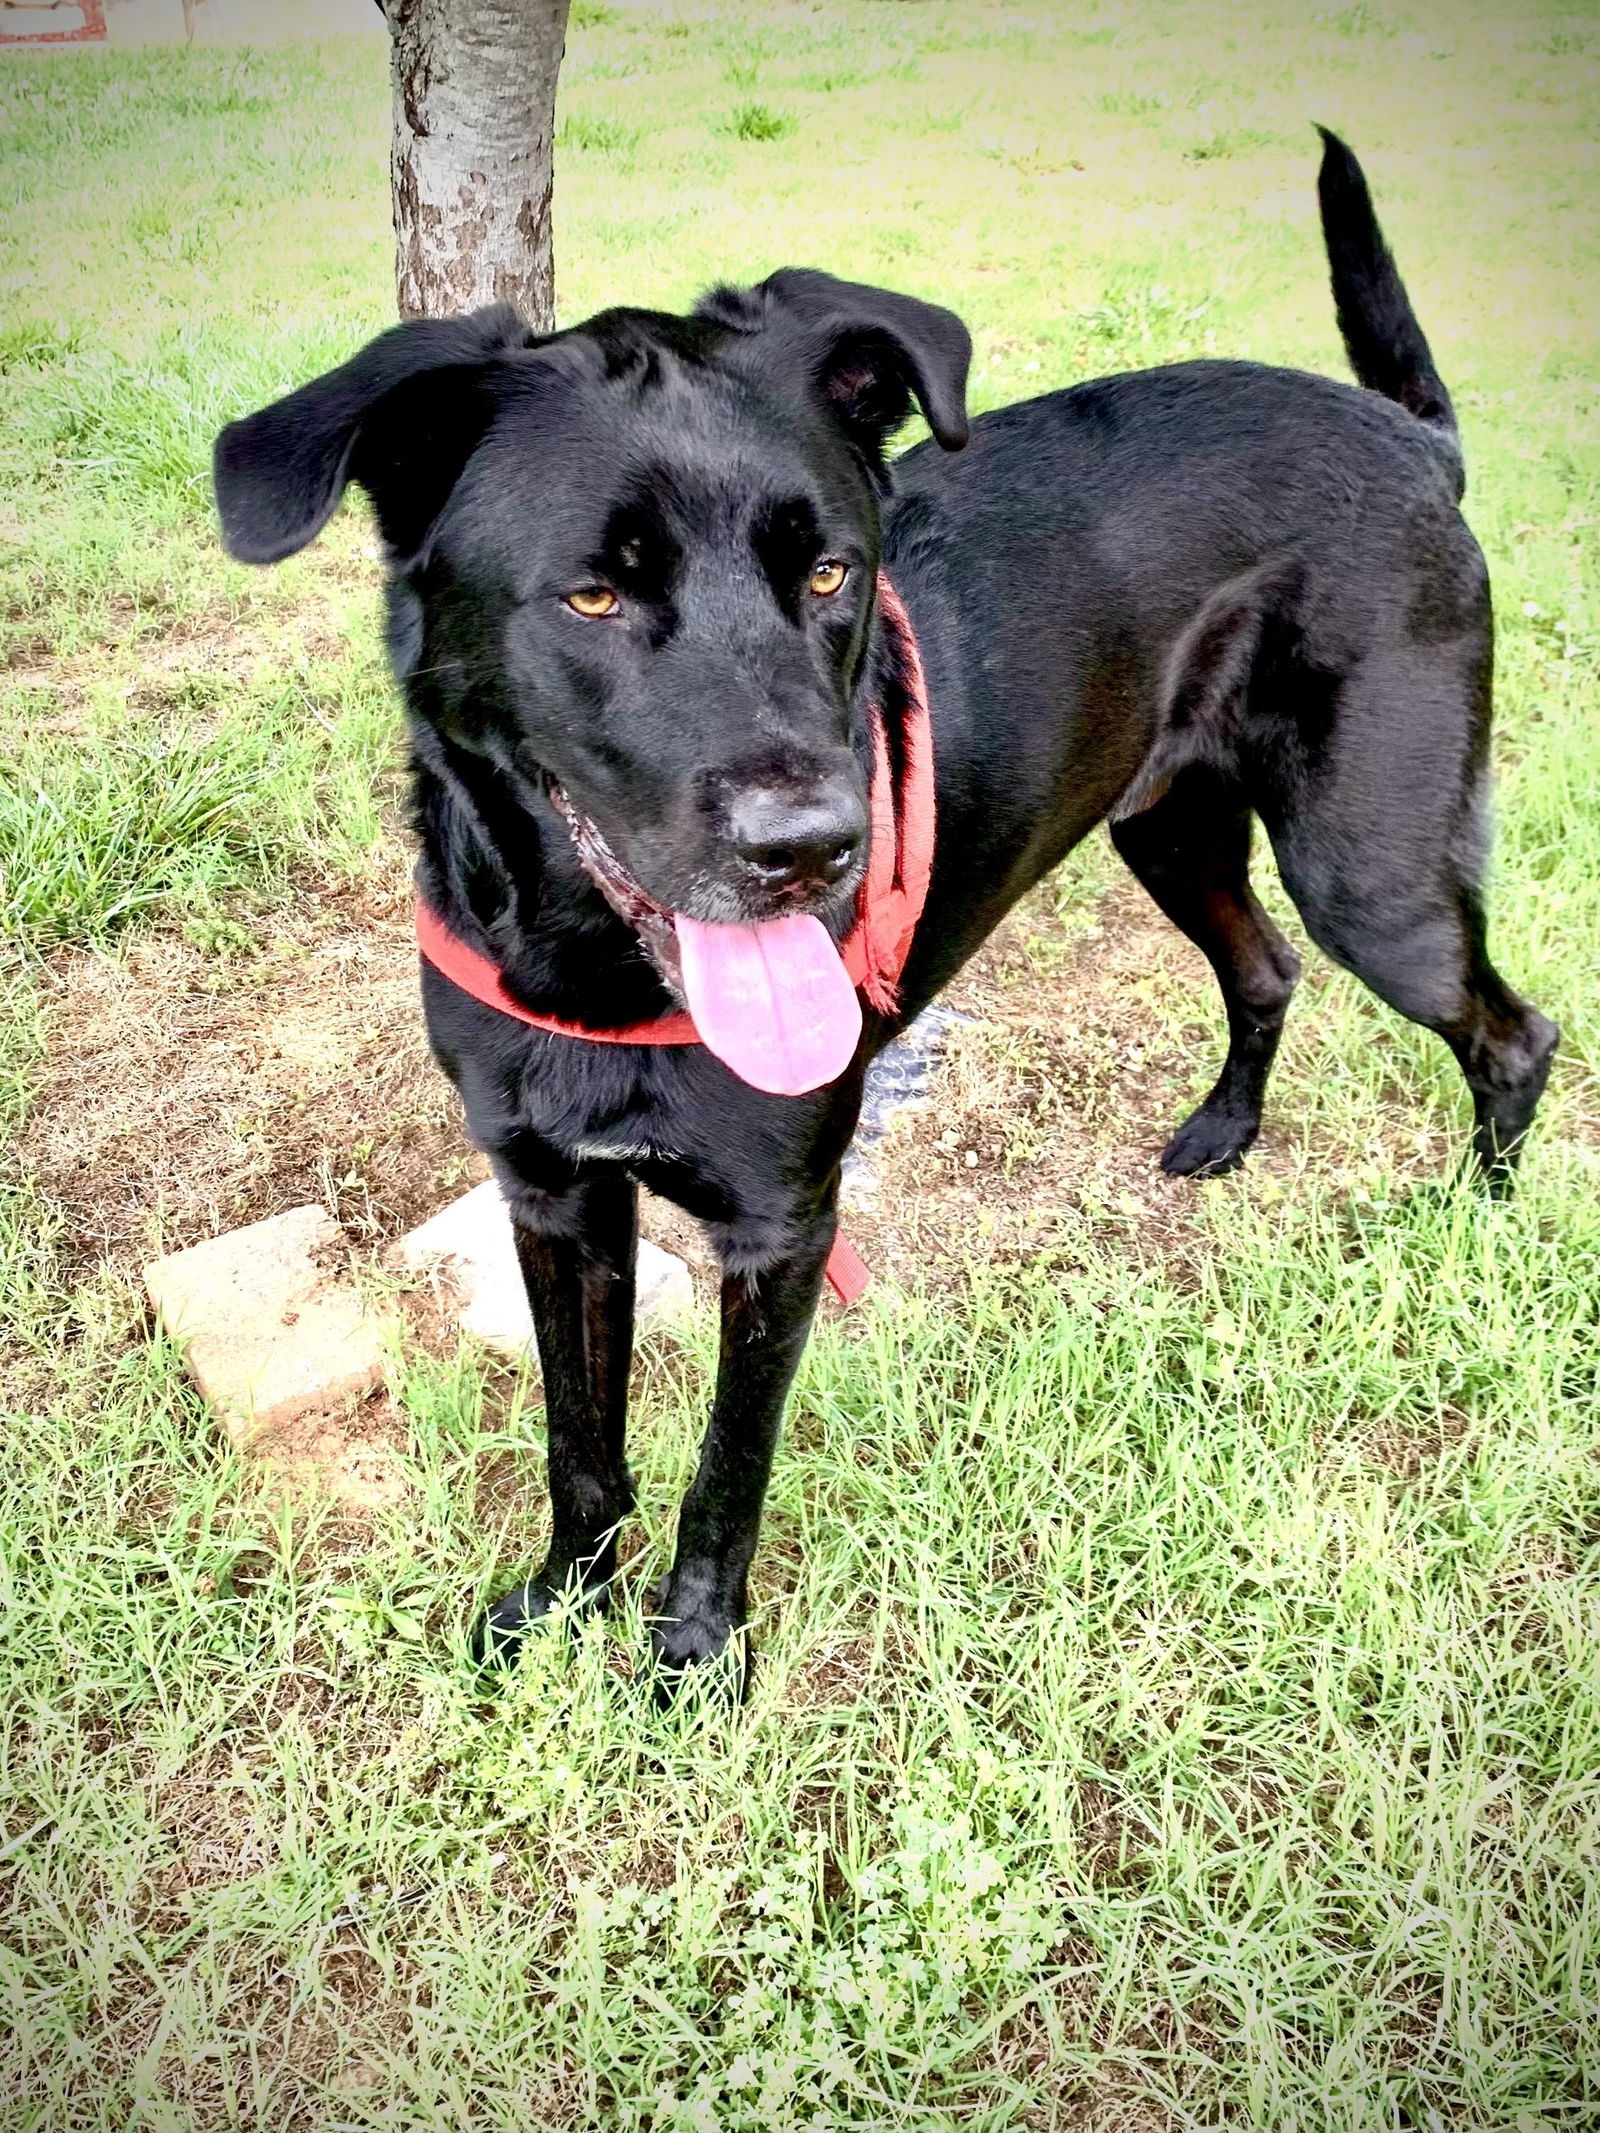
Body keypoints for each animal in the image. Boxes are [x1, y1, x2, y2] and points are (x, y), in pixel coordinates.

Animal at [213, 137, 1553, 1697]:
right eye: (593, 595)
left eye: (831, 570)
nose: (816, 851)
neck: (596, 967)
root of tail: (1413, 443)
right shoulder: (551, 1193)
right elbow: (580, 1440)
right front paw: (561, 1600)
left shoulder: (779, 1227)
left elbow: (723, 1470)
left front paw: (691, 1657)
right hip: (1166, 822)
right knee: (1266, 964)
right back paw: (1225, 1132)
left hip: (1369, 869)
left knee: (1508, 1033)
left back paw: (1474, 1216)